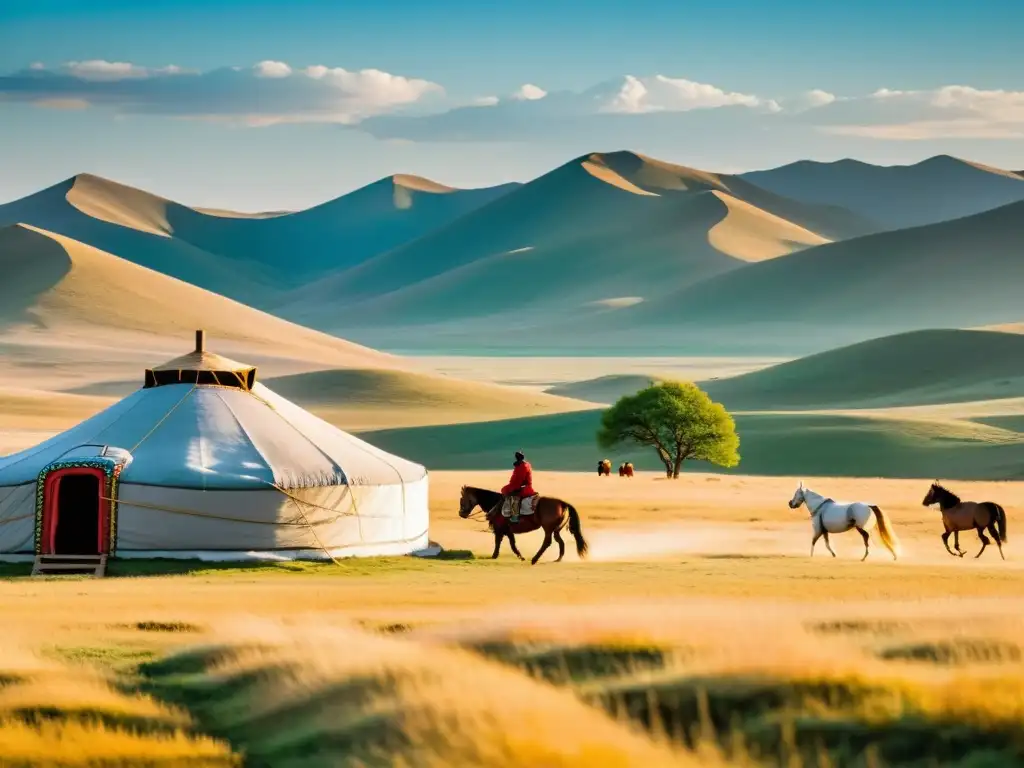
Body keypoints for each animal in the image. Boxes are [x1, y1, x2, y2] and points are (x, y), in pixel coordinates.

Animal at [458, 487, 589, 565]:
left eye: (462, 499)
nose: (461, 514)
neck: (495, 504)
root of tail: (562, 503)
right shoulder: (507, 530)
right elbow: (512, 543)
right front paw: (520, 556)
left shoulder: (500, 529)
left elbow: (499, 542)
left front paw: (495, 556)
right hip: (556, 529)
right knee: (560, 541)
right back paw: (558, 559)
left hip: (548, 529)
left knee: (547, 542)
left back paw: (535, 559)